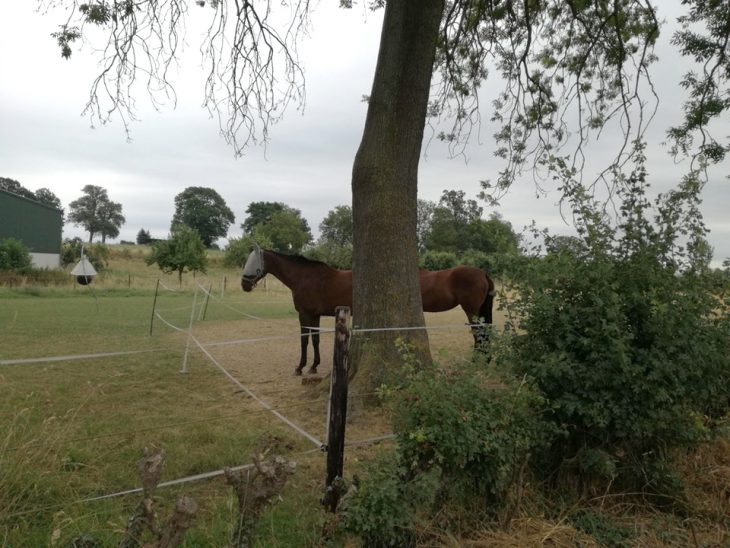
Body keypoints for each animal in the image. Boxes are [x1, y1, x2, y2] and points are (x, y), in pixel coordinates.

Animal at [242, 249, 492, 374]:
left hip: (471, 311)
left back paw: (478, 361)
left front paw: (301, 367)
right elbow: (314, 340)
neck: (307, 278)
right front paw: (313, 366)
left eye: (254, 261)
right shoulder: (314, 316)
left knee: (479, 334)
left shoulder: (305, 314)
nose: (244, 284)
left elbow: (304, 340)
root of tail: (482, 272)